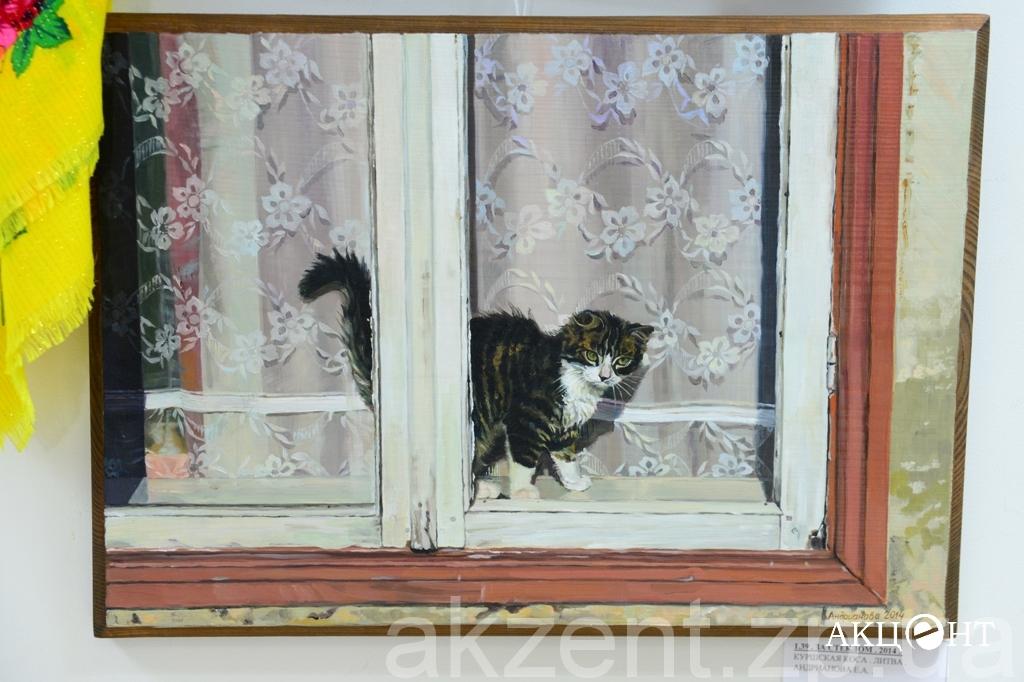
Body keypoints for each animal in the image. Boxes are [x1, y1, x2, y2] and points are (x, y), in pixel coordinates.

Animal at [299, 249, 653, 500]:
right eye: (593, 356)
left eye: (621, 360)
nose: (605, 376)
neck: (574, 380)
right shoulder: (525, 417)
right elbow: (525, 458)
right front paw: (523, 491)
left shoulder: (564, 427)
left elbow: (566, 455)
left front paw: (575, 482)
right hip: (474, 425)